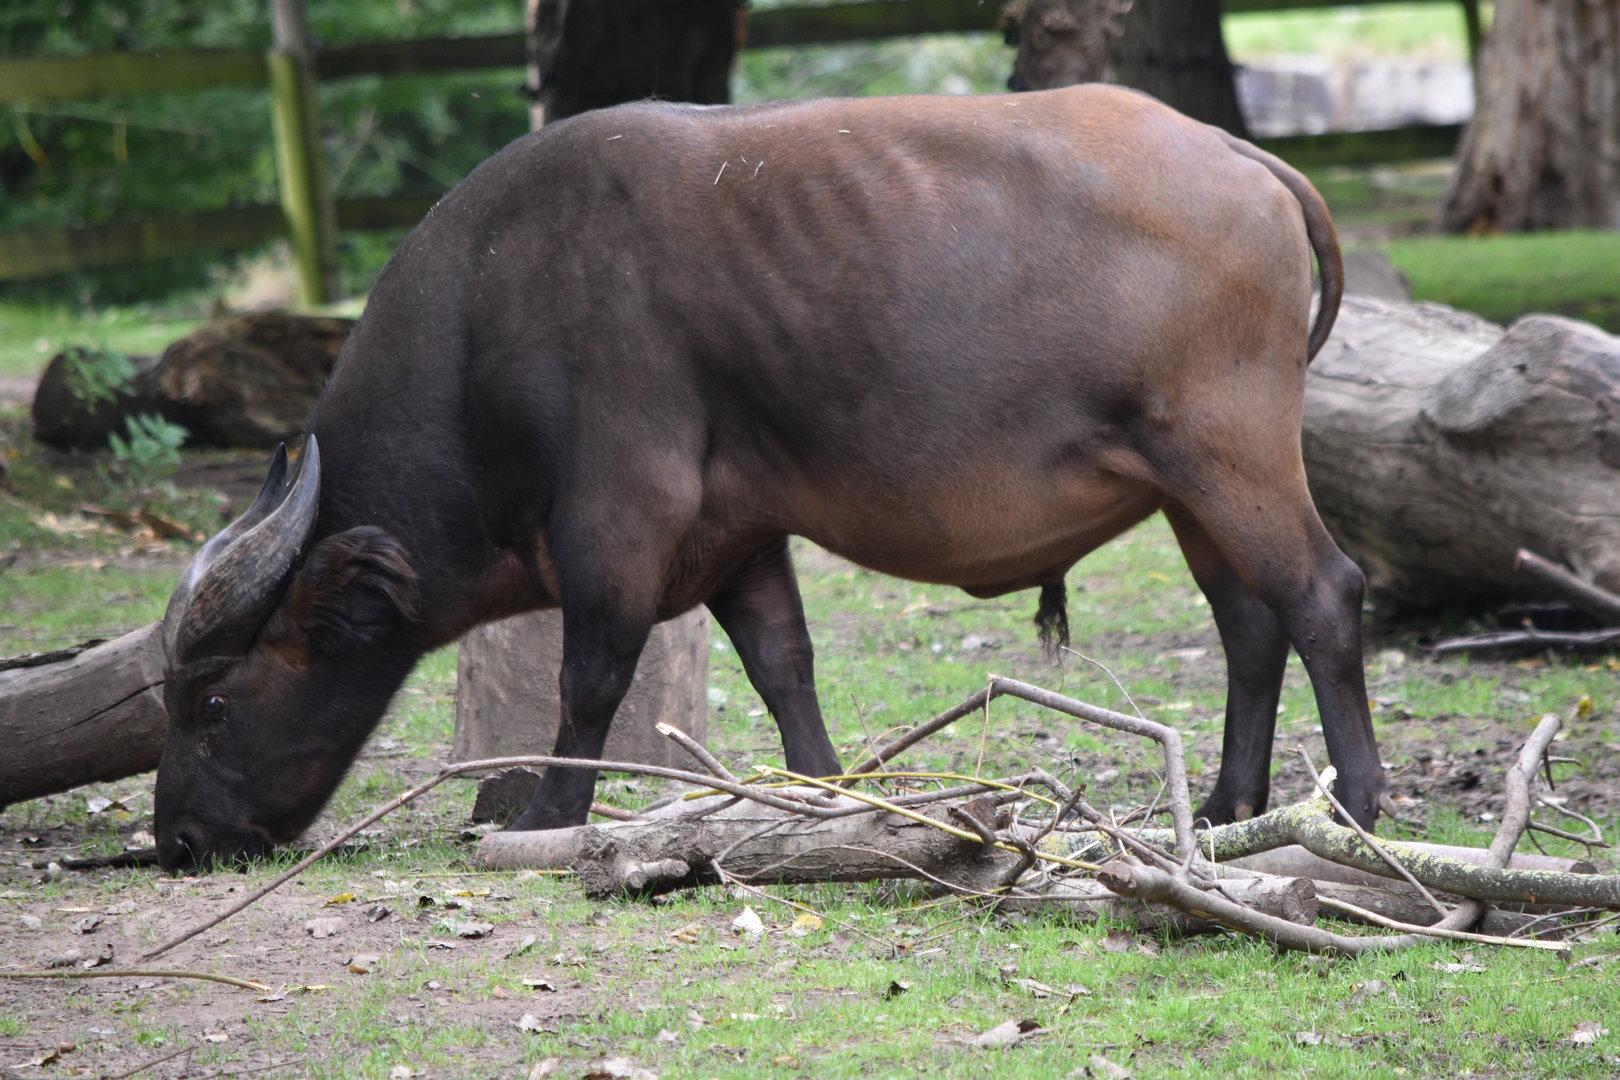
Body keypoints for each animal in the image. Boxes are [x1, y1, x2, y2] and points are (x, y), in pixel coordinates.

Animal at [154, 85, 1380, 873]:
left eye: (211, 702)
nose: (175, 839)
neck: (488, 323)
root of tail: (1236, 154)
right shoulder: (739, 539)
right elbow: (785, 669)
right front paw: (815, 807)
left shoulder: (618, 522)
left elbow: (589, 678)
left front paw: (550, 815)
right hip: (1188, 489)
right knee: (1249, 625)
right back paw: (1221, 808)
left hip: (1230, 454)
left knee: (1323, 595)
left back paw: (1359, 808)